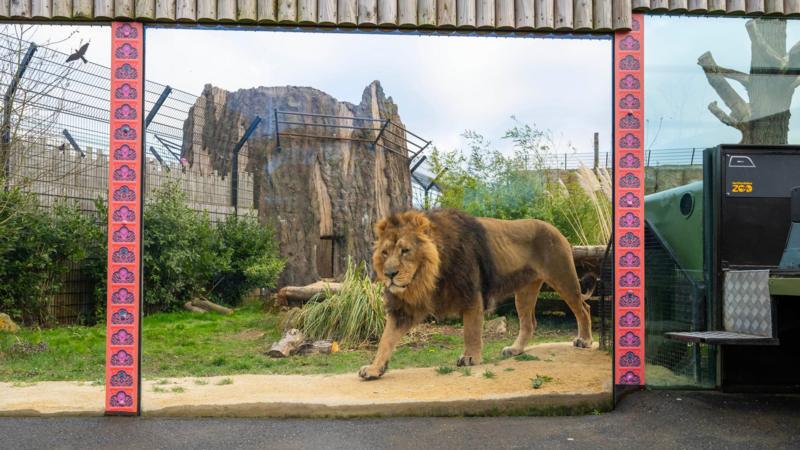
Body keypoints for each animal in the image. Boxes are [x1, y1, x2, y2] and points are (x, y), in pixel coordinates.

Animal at [358, 208, 595, 380]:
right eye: (385, 253)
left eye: (405, 250)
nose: (389, 274)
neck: (426, 277)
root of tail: (555, 229)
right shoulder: (403, 309)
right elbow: (386, 340)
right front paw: (374, 368)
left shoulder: (471, 294)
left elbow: (470, 331)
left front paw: (470, 358)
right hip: (525, 290)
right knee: (530, 323)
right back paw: (515, 350)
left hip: (563, 277)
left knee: (583, 308)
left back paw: (585, 340)